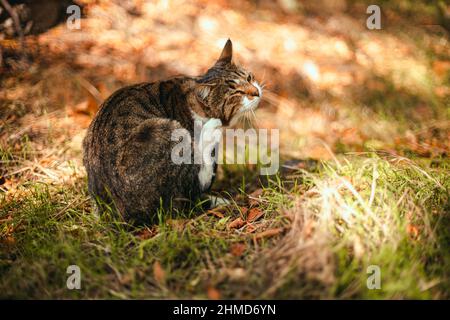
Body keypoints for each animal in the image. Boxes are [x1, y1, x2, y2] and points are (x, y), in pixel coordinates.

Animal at [82, 39, 262, 225]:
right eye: (238, 93)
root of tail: (116, 215)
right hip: (168, 132)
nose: (256, 92)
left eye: (249, 78)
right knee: (180, 203)